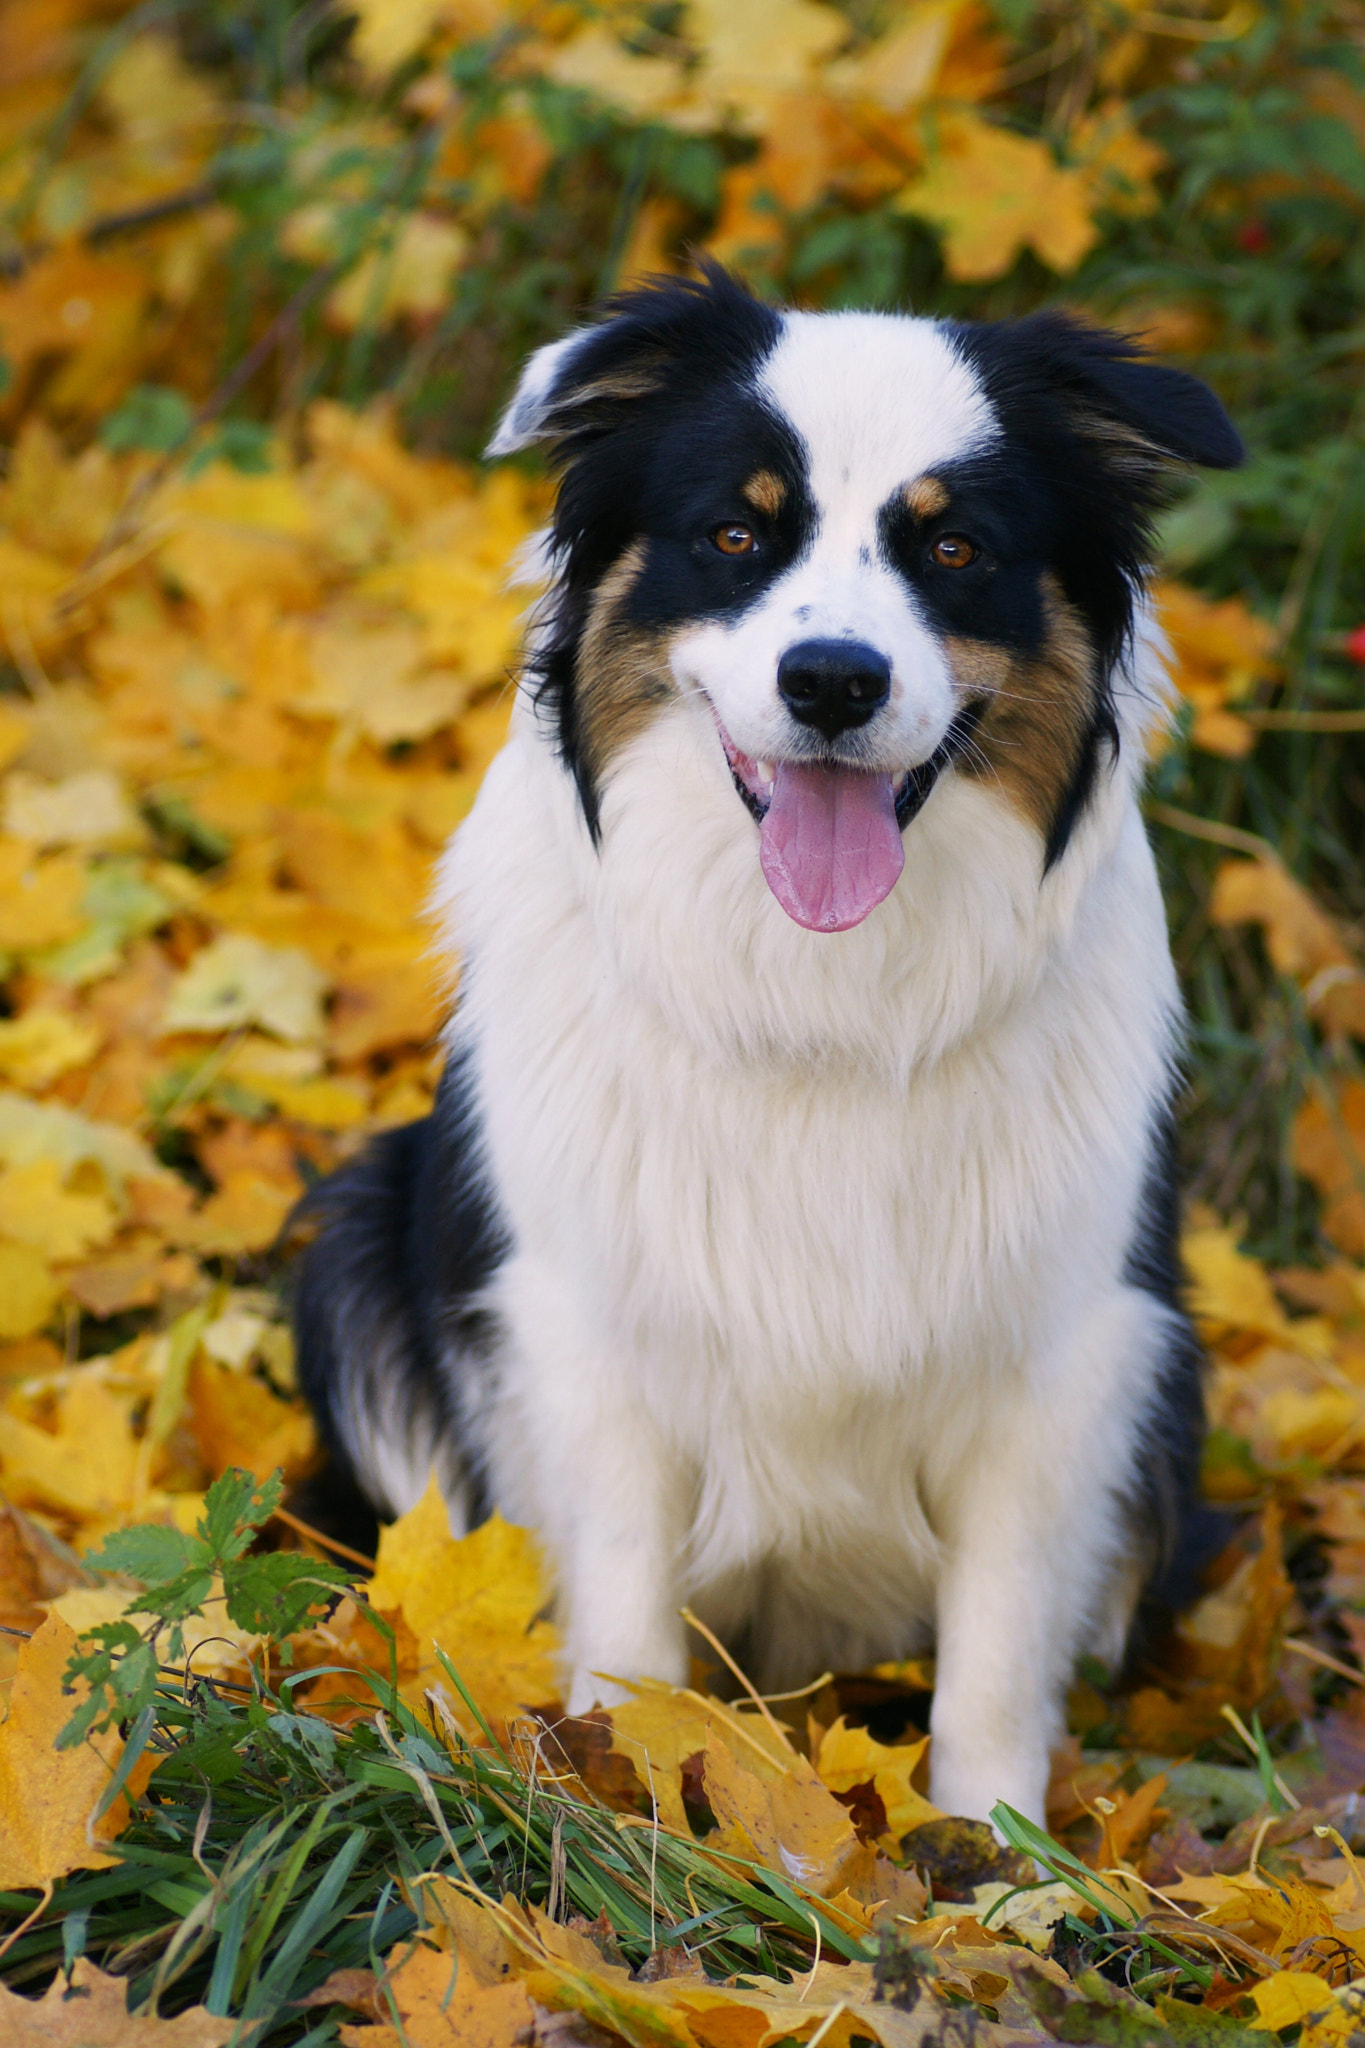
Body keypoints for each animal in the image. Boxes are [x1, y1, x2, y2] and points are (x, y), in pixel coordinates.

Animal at [294, 264, 1244, 1818]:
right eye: (736, 533)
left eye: (956, 547)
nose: (832, 681)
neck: (818, 989)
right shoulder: (587, 1327)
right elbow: (626, 1613)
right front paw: (623, 1796)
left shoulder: (1068, 1347)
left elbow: (998, 1640)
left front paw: (996, 1852)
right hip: (354, 1237)